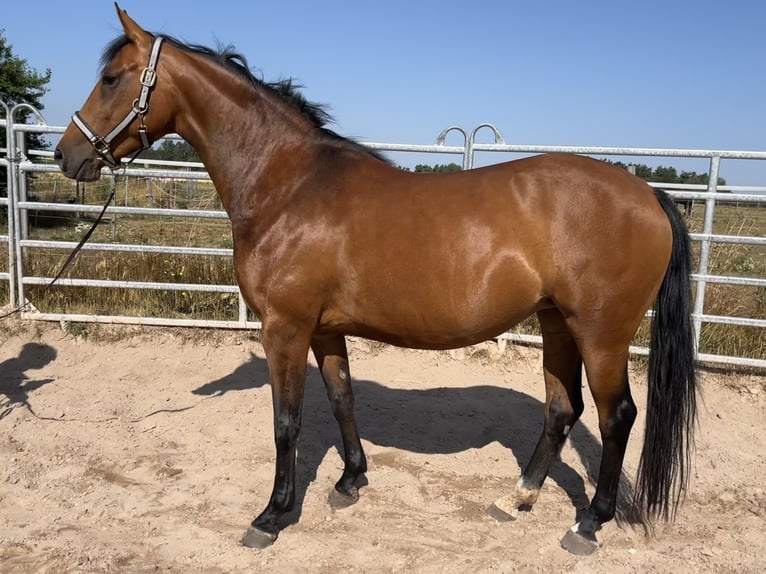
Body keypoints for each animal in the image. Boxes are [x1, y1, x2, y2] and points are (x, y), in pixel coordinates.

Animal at [57, 4, 700, 560]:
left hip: (601, 334)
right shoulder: (323, 329)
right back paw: (516, 497)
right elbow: (342, 398)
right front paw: (350, 481)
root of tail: (646, 193)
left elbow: (286, 423)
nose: (66, 155)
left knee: (617, 417)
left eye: (111, 79)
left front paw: (272, 515)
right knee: (562, 408)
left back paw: (588, 524)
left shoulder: (284, 328)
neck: (290, 184)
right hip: (556, 323)